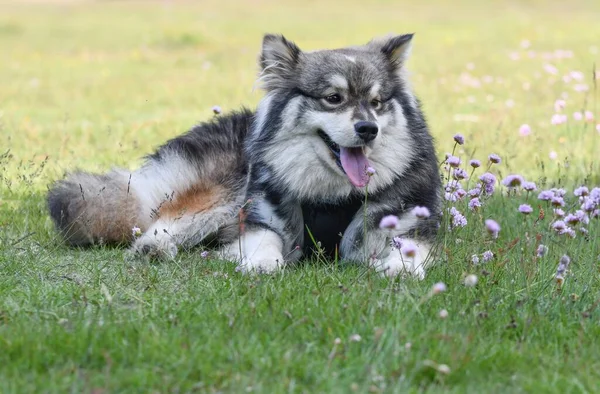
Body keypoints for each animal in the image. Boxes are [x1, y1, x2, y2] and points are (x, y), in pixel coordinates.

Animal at [48, 33, 440, 278]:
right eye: (333, 98)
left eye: (377, 102)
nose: (368, 129)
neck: (331, 195)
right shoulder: (258, 218)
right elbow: (265, 242)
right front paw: (263, 264)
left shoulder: (412, 223)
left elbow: (410, 248)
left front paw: (402, 268)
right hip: (227, 191)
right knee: (167, 214)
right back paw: (153, 247)